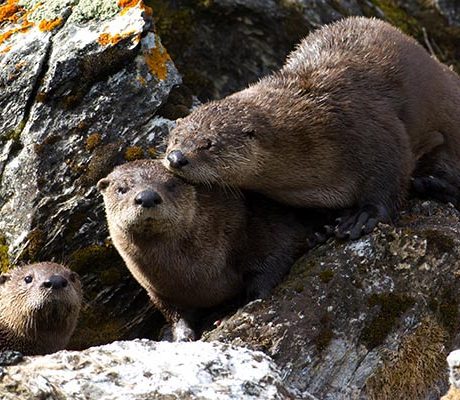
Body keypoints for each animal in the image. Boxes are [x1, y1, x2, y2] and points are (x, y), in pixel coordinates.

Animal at [98, 159, 310, 340]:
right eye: (122, 189)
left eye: (171, 185)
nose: (147, 197)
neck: (193, 276)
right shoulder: (159, 292)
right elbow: (174, 314)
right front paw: (181, 335)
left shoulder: (265, 228)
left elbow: (271, 266)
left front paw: (236, 311)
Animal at [164, 15, 460, 239]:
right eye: (174, 137)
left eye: (209, 143)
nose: (176, 158)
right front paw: (320, 230)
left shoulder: (370, 128)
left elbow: (391, 174)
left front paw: (362, 217)